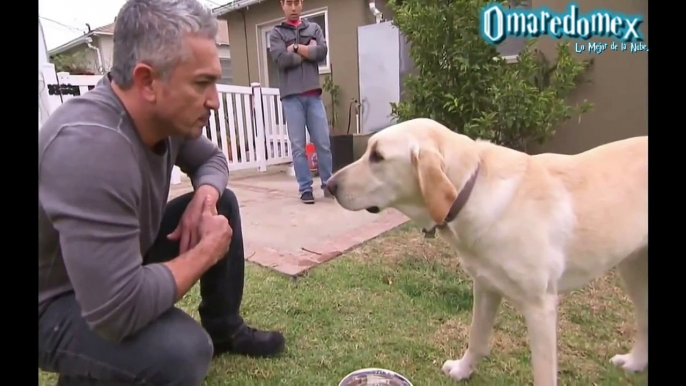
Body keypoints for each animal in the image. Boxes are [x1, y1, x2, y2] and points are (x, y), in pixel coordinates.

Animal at [328, 118, 652, 386]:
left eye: (377, 156)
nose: (330, 185)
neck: (473, 190)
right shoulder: (485, 285)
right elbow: (477, 336)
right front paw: (463, 370)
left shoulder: (540, 306)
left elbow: (543, 372)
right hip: (632, 268)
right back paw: (635, 363)